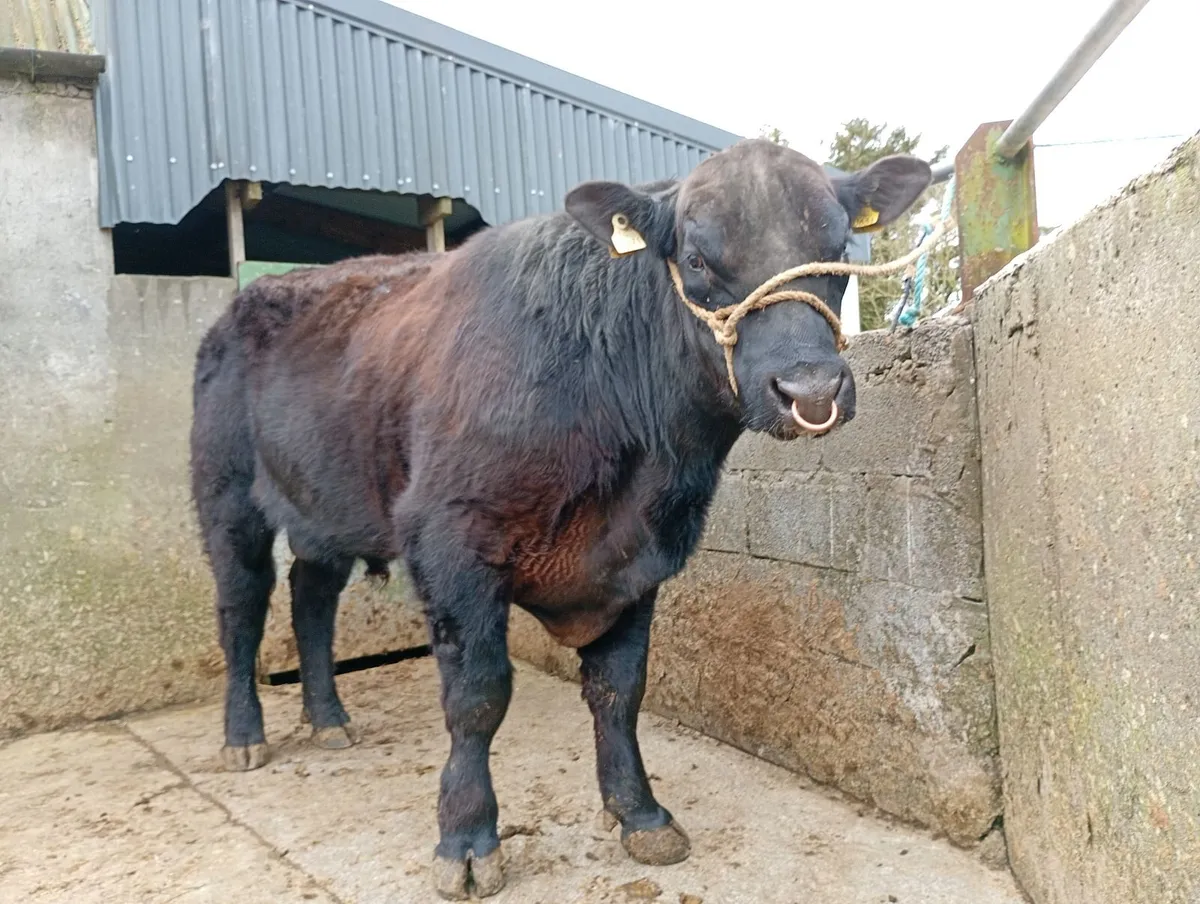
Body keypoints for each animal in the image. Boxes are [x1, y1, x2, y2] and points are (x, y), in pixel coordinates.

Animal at [188, 138, 931, 899]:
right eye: (697, 259)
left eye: (838, 248)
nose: (810, 389)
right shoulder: (450, 542)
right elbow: (478, 697)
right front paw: (465, 840)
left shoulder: (637, 563)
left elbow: (618, 691)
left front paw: (639, 813)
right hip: (227, 497)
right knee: (242, 609)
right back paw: (244, 736)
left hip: (322, 510)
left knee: (311, 600)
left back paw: (329, 719)